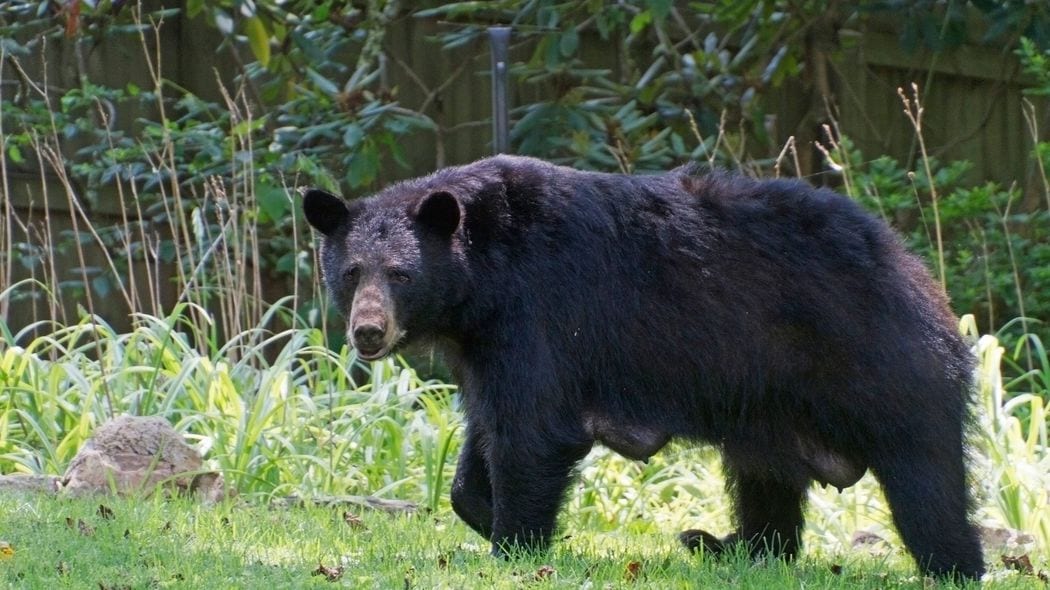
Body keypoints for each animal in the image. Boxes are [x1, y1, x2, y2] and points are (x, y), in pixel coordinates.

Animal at [302, 155, 984, 580]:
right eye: (351, 272)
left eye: (401, 274)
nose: (368, 331)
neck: (482, 279)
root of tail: (919, 275)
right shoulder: (485, 342)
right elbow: (490, 431)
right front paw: (484, 509)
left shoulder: (542, 310)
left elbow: (534, 430)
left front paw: (514, 546)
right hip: (769, 406)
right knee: (764, 481)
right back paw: (729, 547)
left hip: (880, 363)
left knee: (926, 478)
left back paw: (953, 566)